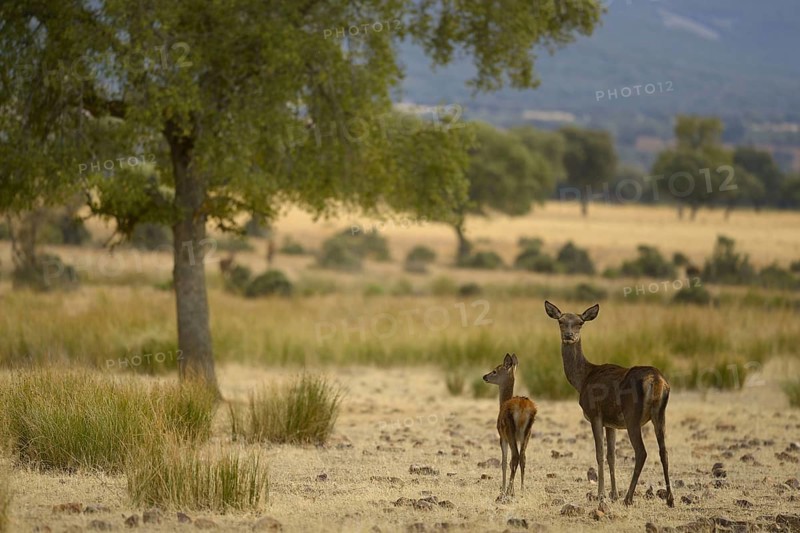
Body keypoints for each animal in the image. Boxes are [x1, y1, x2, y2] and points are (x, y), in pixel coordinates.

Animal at [483, 353, 538, 497]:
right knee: (523, 457)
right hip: (527, 434)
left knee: (515, 457)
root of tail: (523, 407)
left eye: (495, 370)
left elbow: (504, 462)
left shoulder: (502, 437)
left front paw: (503, 488)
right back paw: (522, 490)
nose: (484, 376)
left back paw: (508, 491)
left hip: (510, 432)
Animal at [543, 301, 674, 507]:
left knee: (642, 452)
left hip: (632, 415)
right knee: (664, 451)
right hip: (660, 414)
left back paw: (629, 498)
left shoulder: (595, 413)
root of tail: (656, 381)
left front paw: (601, 495)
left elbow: (599, 453)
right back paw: (670, 499)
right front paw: (613, 494)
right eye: (561, 321)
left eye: (580, 323)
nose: (569, 336)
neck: (583, 379)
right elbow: (611, 455)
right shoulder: (611, 422)